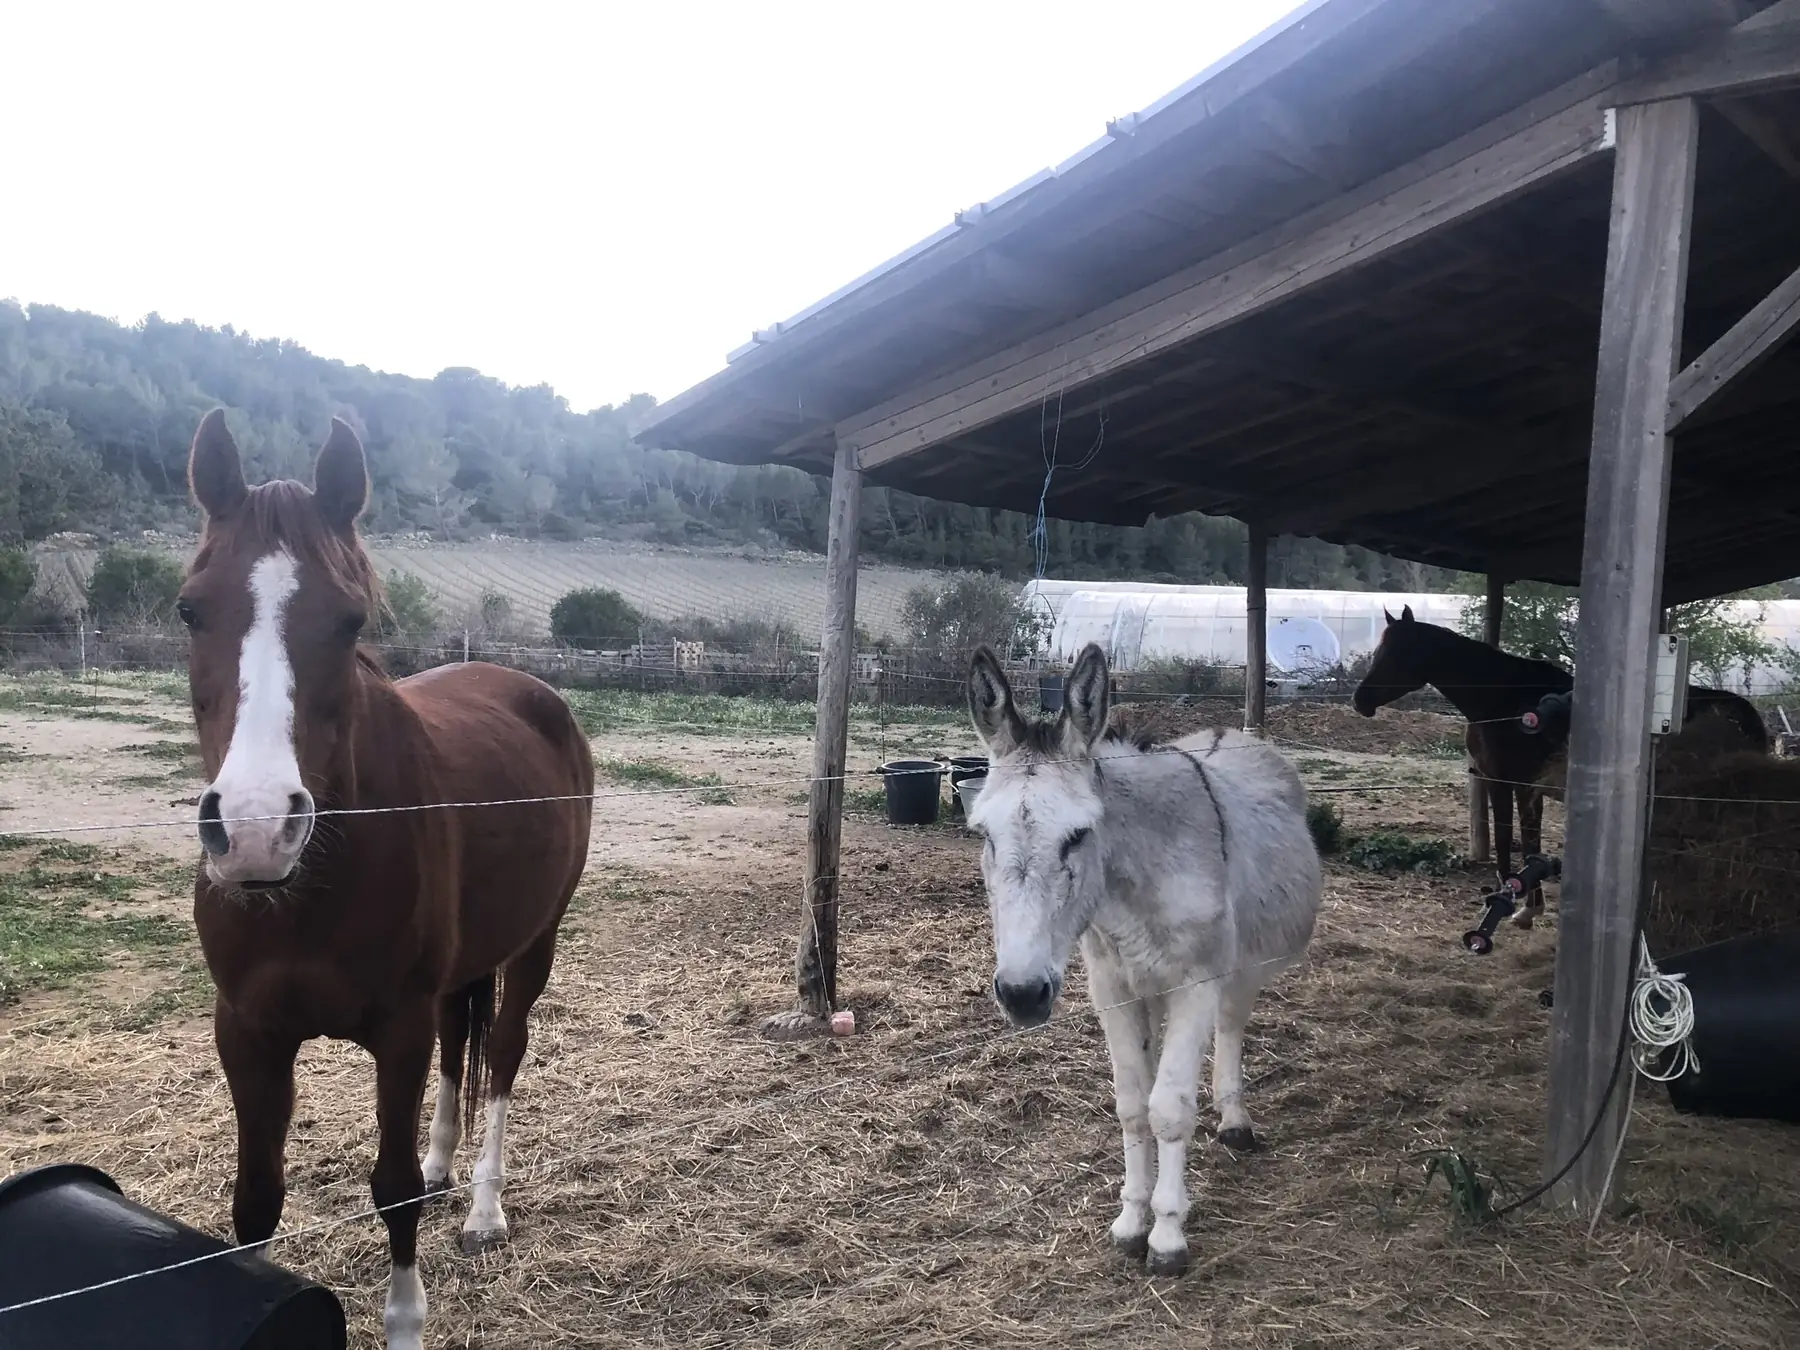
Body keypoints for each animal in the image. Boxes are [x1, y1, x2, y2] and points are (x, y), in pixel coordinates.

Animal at [179, 410, 594, 1350]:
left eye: (349, 620)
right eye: (190, 609)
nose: (255, 829)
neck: (307, 893)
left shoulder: (396, 1030)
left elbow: (392, 1189)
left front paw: (404, 1320)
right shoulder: (245, 1032)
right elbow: (256, 1196)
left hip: (536, 944)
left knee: (501, 1054)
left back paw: (482, 1207)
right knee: (459, 1043)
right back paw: (448, 1164)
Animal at [964, 642, 1322, 1276]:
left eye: (1079, 835)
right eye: (983, 834)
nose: (1022, 995)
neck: (1134, 884)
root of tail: (1236, 733)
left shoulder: (1197, 983)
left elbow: (1170, 1108)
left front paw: (1168, 1236)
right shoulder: (1113, 986)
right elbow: (1133, 1105)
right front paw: (1132, 1220)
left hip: (1242, 967)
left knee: (1232, 1024)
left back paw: (1235, 1121)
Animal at [1351, 606, 1766, 926]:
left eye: (1395, 654)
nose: (1359, 700)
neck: (1503, 703)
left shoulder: (1511, 783)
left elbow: (1512, 842)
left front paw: (1515, 907)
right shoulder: (1514, 785)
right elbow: (1526, 842)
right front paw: (1528, 909)